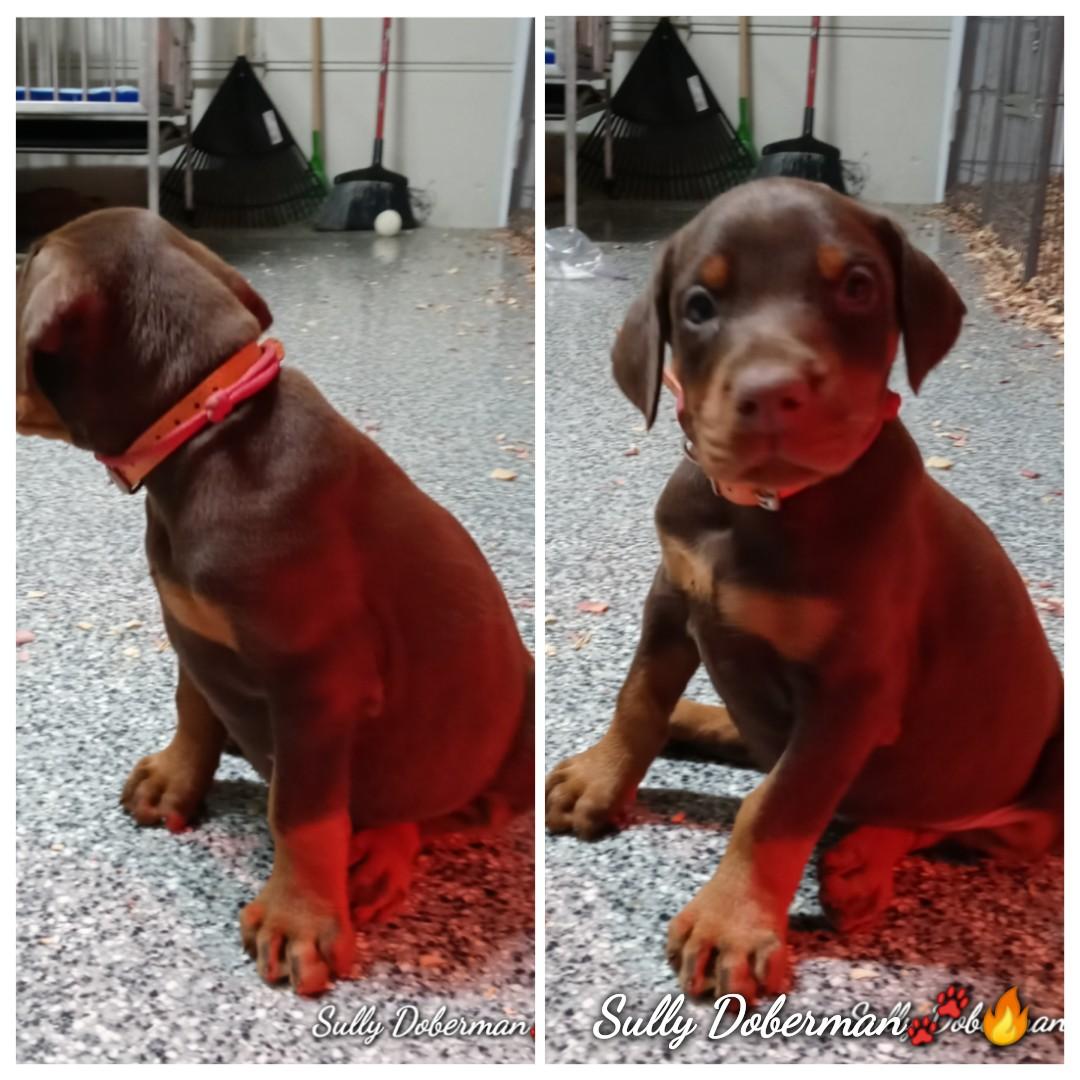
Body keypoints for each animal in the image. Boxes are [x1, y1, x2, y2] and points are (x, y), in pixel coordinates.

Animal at [17, 208, 534, 995]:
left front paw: (299, 920)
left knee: (442, 809)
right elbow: (194, 708)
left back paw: (381, 852)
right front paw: (175, 779)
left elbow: (305, 812)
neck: (204, 428)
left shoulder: (317, 686)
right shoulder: (193, 630)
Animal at [545, 177, 1062, 1001]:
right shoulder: (672, 594)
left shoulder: (854, 694)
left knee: (947, 814)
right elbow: (640, 696)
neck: (764, 507)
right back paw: (700, 719)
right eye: (699, 305)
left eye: (857, 286)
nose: (771, 393)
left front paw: (731, 922)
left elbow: (780, 804)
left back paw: (860, 864)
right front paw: (602, 776)